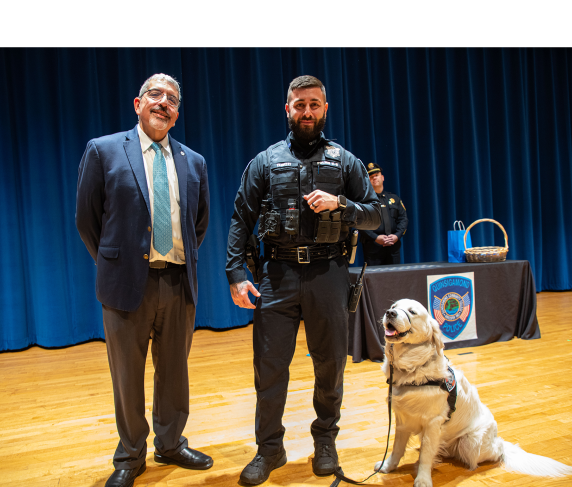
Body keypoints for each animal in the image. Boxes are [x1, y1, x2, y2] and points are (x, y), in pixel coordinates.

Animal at [376, 298, 572, 487]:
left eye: (412, 311)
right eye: (394, 306)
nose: (390, 313)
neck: (413, 368)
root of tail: (497, 441)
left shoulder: (433, 422)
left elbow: (425, 455)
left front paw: (423, 479)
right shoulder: (403, 419)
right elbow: (396, 448)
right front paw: (387, 467)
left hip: (470, 441)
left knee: (495, 452)